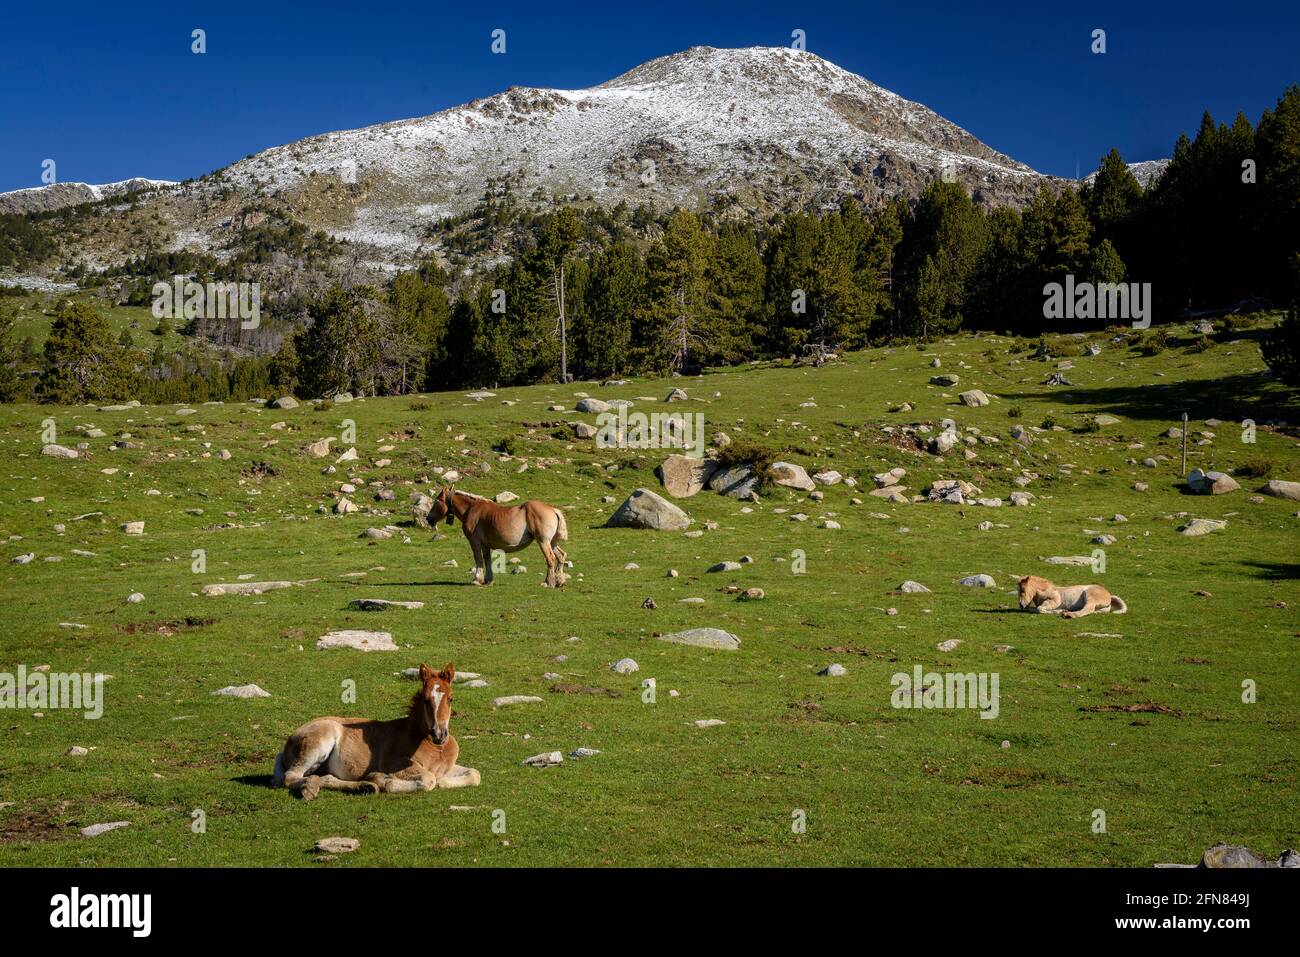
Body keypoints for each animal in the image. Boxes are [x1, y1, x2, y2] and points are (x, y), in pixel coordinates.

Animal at [271, 660, 480, 795]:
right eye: (425, 699)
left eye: (451, 699)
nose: (439, 734)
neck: (434, 747)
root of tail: (290, 740)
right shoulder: (395, 764)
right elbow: (429, 779)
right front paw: (381, 779)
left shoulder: (448, 767)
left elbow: (473, 774)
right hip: (319, 743)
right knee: (291, 777)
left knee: (326, 777)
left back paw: (362, 786)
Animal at [416, 481, 569, 587]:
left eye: (437, 500)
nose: (428, 518)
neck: (471, 510)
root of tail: (553, 509)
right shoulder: (485, 545)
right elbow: (487, 560)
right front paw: (488, 580)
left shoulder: (475, 542)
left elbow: (478, 559)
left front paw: (477, 579)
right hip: (552, 542)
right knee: (561, 556)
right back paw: (559, 581)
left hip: (543, 541)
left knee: (550, 558)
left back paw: (548, 582)